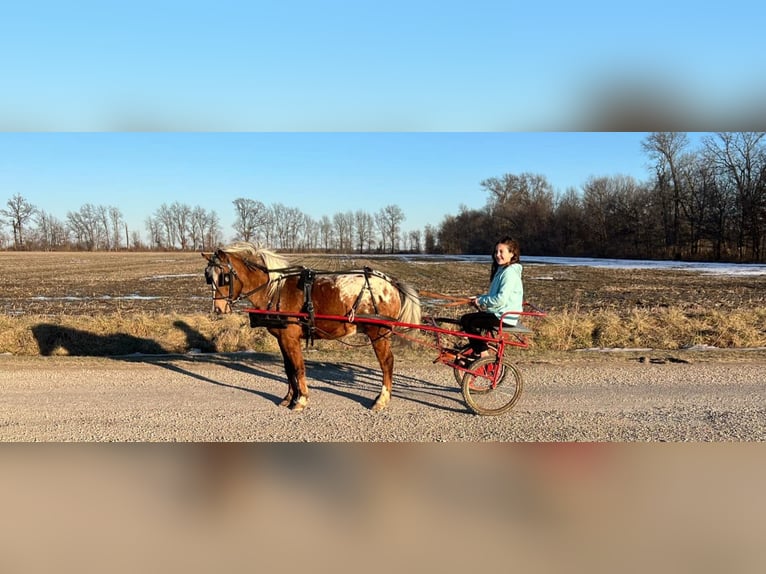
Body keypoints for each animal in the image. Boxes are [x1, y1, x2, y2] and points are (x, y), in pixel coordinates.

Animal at [201, 243, 424, 414]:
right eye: (208, 277)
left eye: (224, 277)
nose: (218, 309)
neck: (275, 290)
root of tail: (391, 283)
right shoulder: (282, 338)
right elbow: (288, 368)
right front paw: (289, 398)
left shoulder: (290, 338)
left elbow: (298, 367)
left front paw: (301, 400)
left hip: (379, 333)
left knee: (387, 363)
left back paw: (381, 400)